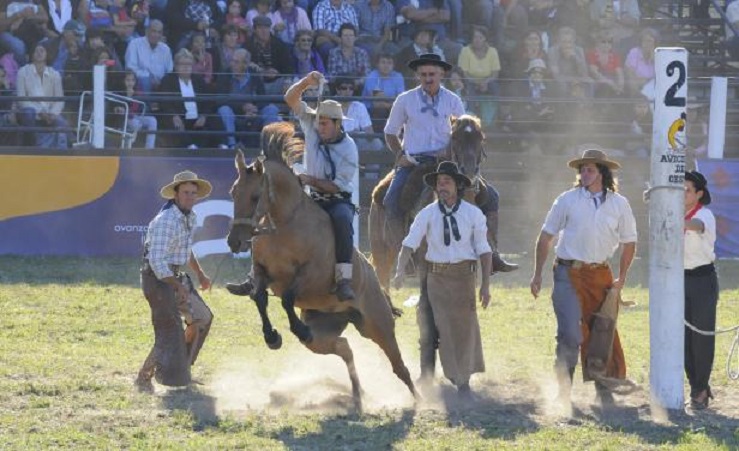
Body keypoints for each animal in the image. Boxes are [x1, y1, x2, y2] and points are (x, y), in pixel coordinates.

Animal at [227, 139, 416, 414]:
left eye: (254, 196)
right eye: (233, 192)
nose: (234, 242)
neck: (285, 224)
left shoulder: (311, 274)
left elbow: (287, 298)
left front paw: (295, 329)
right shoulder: (261, 271)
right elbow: (259, 298)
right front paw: (272, 337)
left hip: (378, 326)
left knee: (399, 366)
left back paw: (423, 400)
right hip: (324, 333)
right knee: (344, 348)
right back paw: (358, 396)